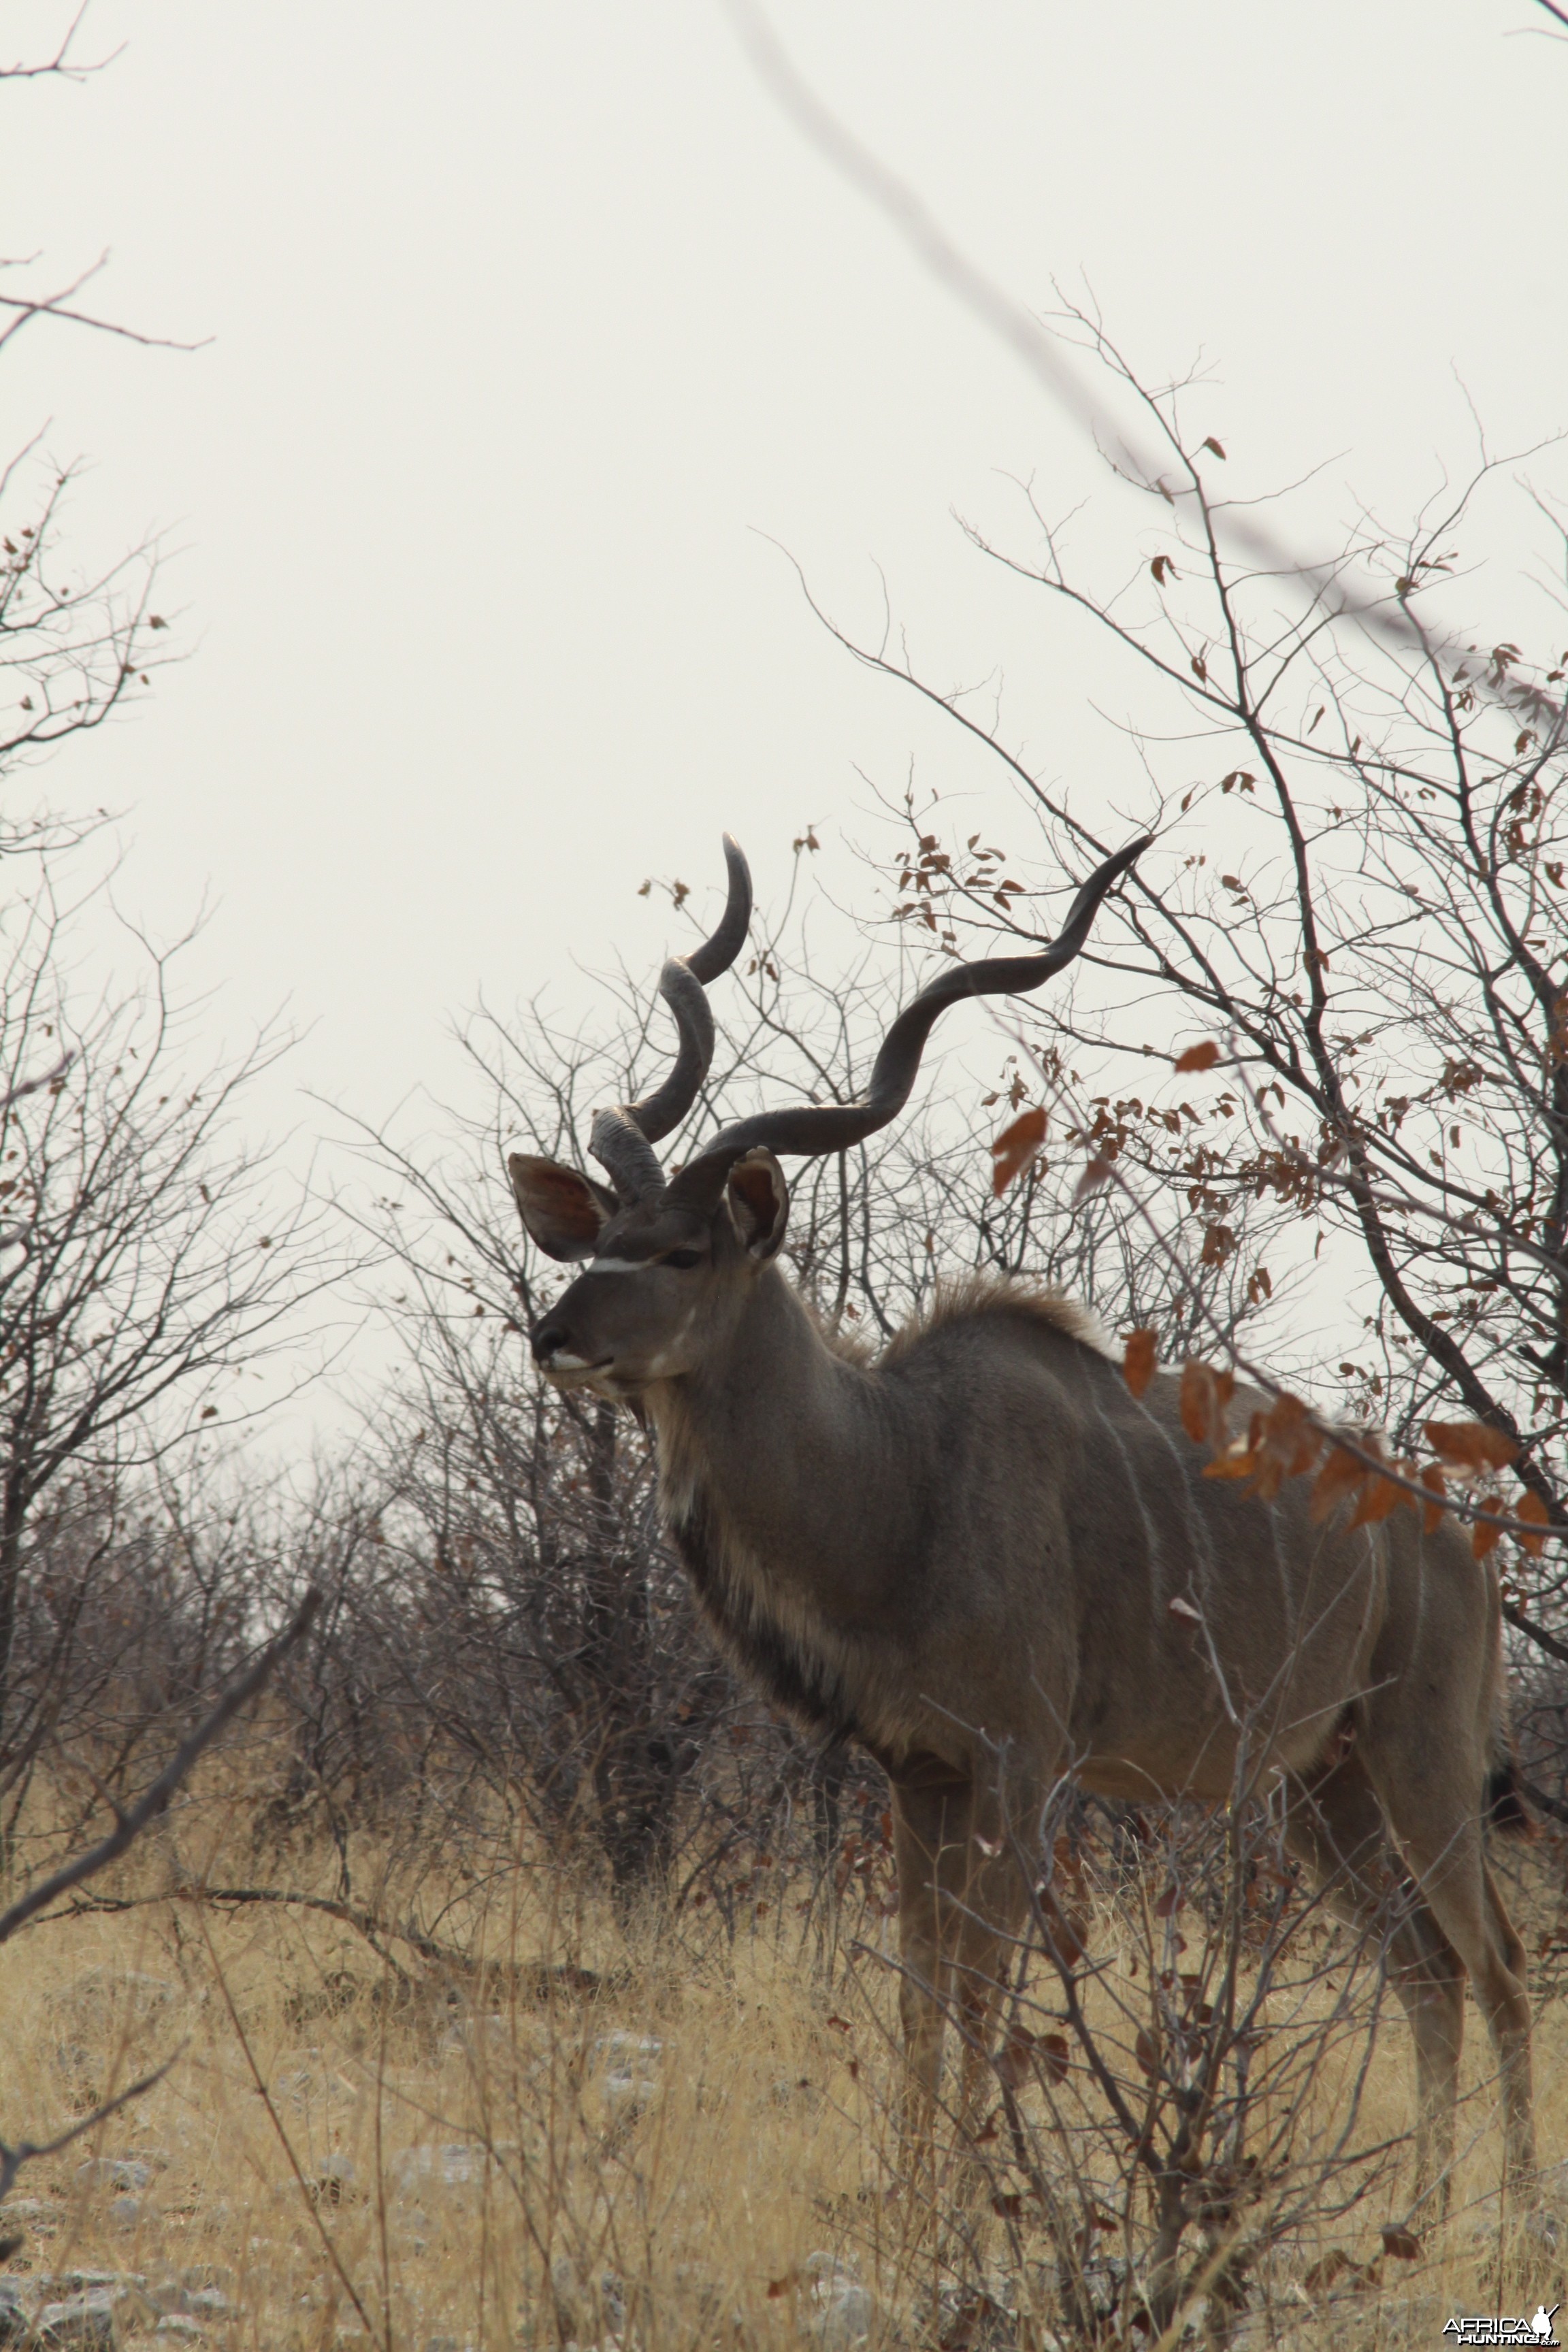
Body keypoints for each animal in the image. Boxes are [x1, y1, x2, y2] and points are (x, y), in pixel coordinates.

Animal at [512, 837, 1533, 2191]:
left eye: (682, 1253)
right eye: (602, 1240)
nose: (553, 1335)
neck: (898, 1474)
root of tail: (1460, 1538)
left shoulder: (1016, 1762)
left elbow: (978, 1990)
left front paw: (965, 2197)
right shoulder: (920, 1772)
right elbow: (918, 1993)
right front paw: (910, 2197)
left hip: (1421, 1759)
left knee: (1495, 1966)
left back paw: (1507, 2214)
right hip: (1325, 1785)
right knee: (1423, 1968)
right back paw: (1420, 2204)